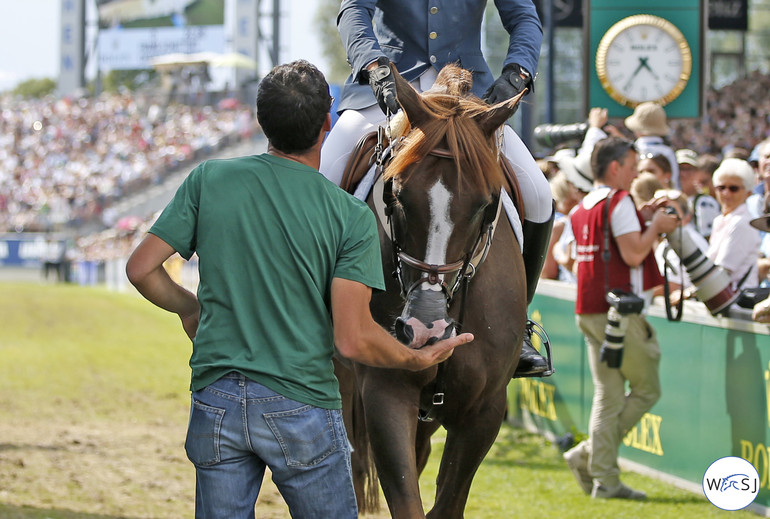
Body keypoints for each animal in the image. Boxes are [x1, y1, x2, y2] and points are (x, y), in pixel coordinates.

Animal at [336, 65, 528, 519]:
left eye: (486, 204)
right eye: (396, 195)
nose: (427, 330)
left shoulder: (484, 410)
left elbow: (447, 502)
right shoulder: (385, 392)